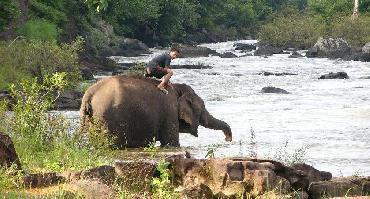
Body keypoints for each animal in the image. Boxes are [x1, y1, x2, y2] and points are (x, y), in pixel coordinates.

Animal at [80, 75, 231, 148]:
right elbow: (171, 144)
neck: (176, 88)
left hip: (94, 118)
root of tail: (89, 93)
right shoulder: (170, 111)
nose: (228, 139)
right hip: (107, 118)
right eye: (202, 106)